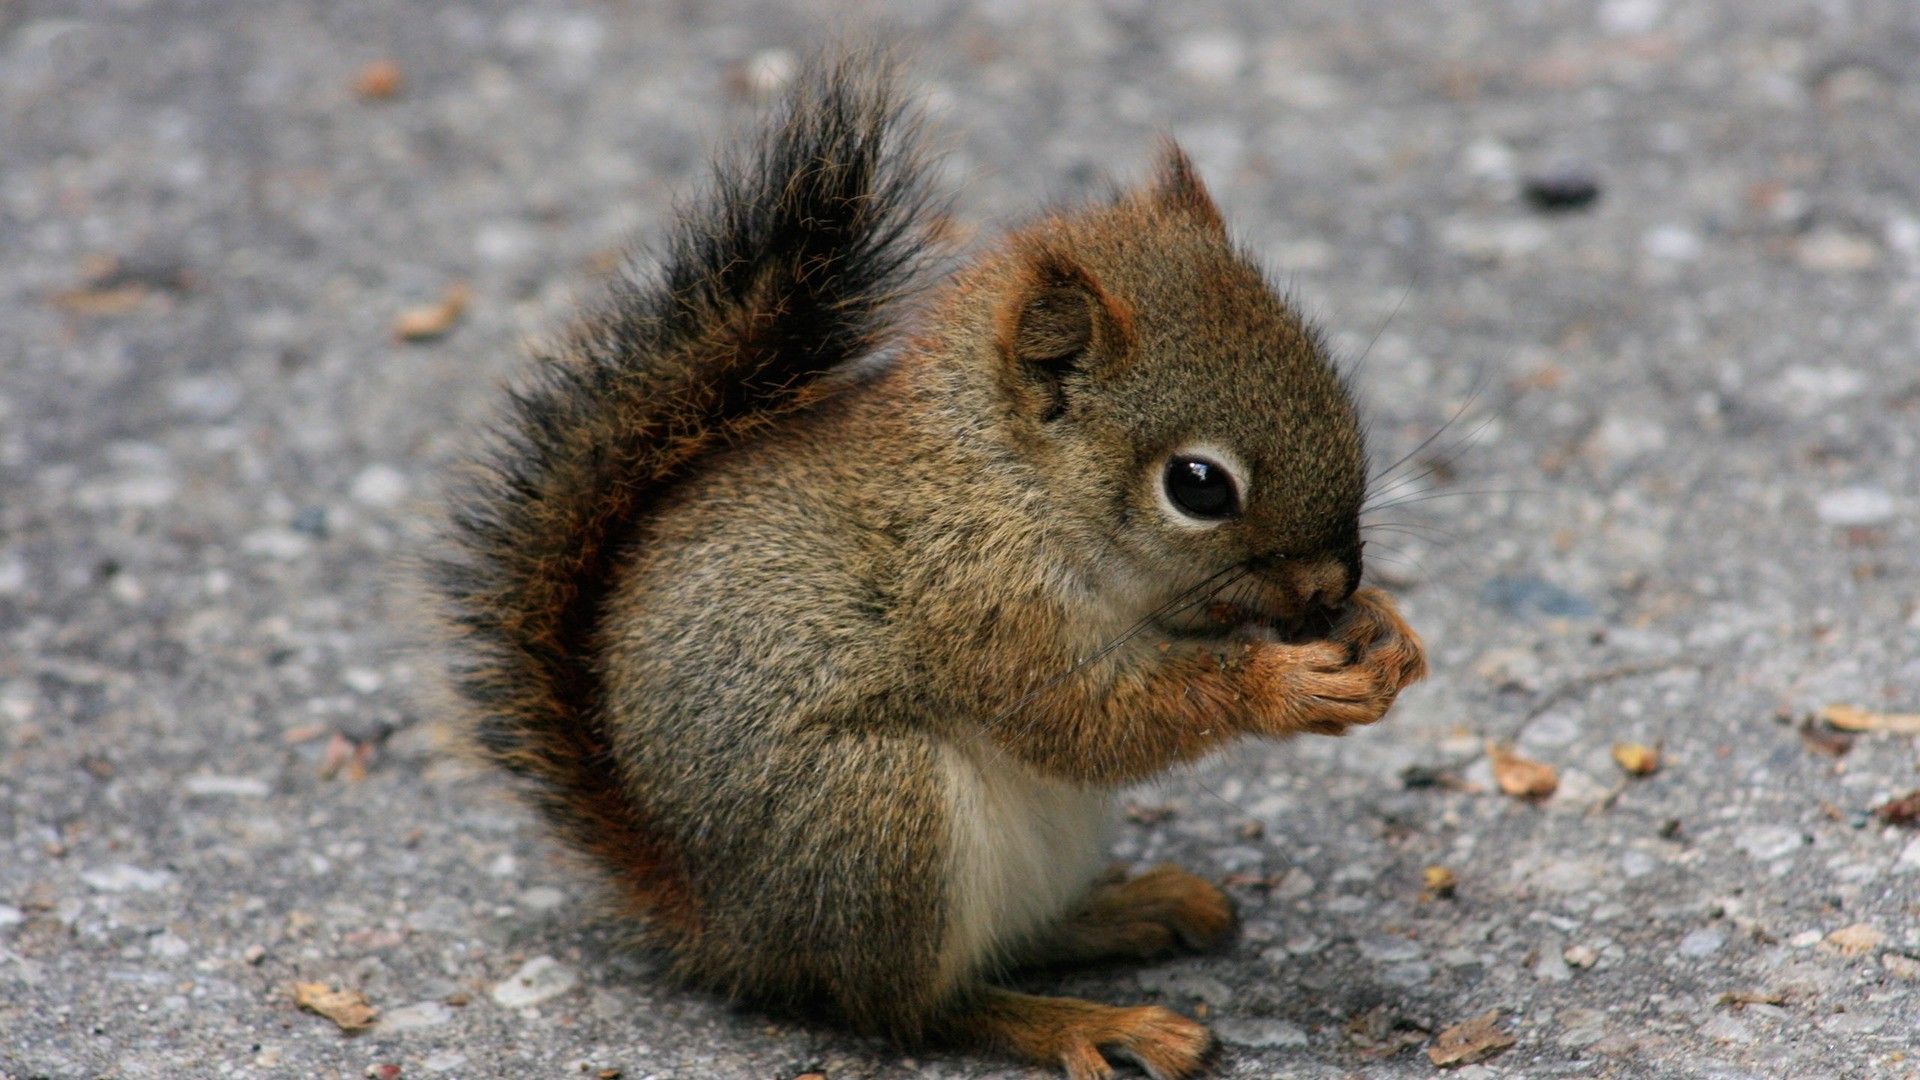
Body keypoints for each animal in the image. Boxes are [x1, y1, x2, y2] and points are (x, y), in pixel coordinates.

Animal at [432, 55, 1426, 1080]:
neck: (1011, 481)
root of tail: (721, 924)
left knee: (1010, 943)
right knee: (912, 1009)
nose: (1332, 586)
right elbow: (1083, 720)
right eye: (1198, 486)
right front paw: (1287, 685)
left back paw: (1131, 908)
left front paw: (1384, 632)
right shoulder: (977, 599)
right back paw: (1082, 1022)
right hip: (875, 815)